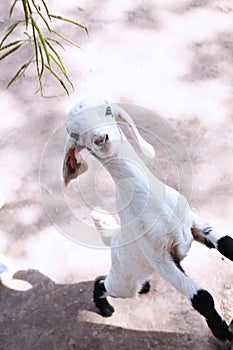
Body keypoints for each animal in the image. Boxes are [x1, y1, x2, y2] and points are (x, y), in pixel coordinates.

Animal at [62, 98, 233, 342]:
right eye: (74, 133)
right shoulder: (160, 259)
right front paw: (222, 331)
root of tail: (114, 239)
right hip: (123, 281)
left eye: (108, 110)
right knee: (102, 283)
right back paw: (105, 308)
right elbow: (202, 298)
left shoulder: (194, 224)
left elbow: (227, 244)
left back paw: (143, 288)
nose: (101, 139)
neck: (151, 199)